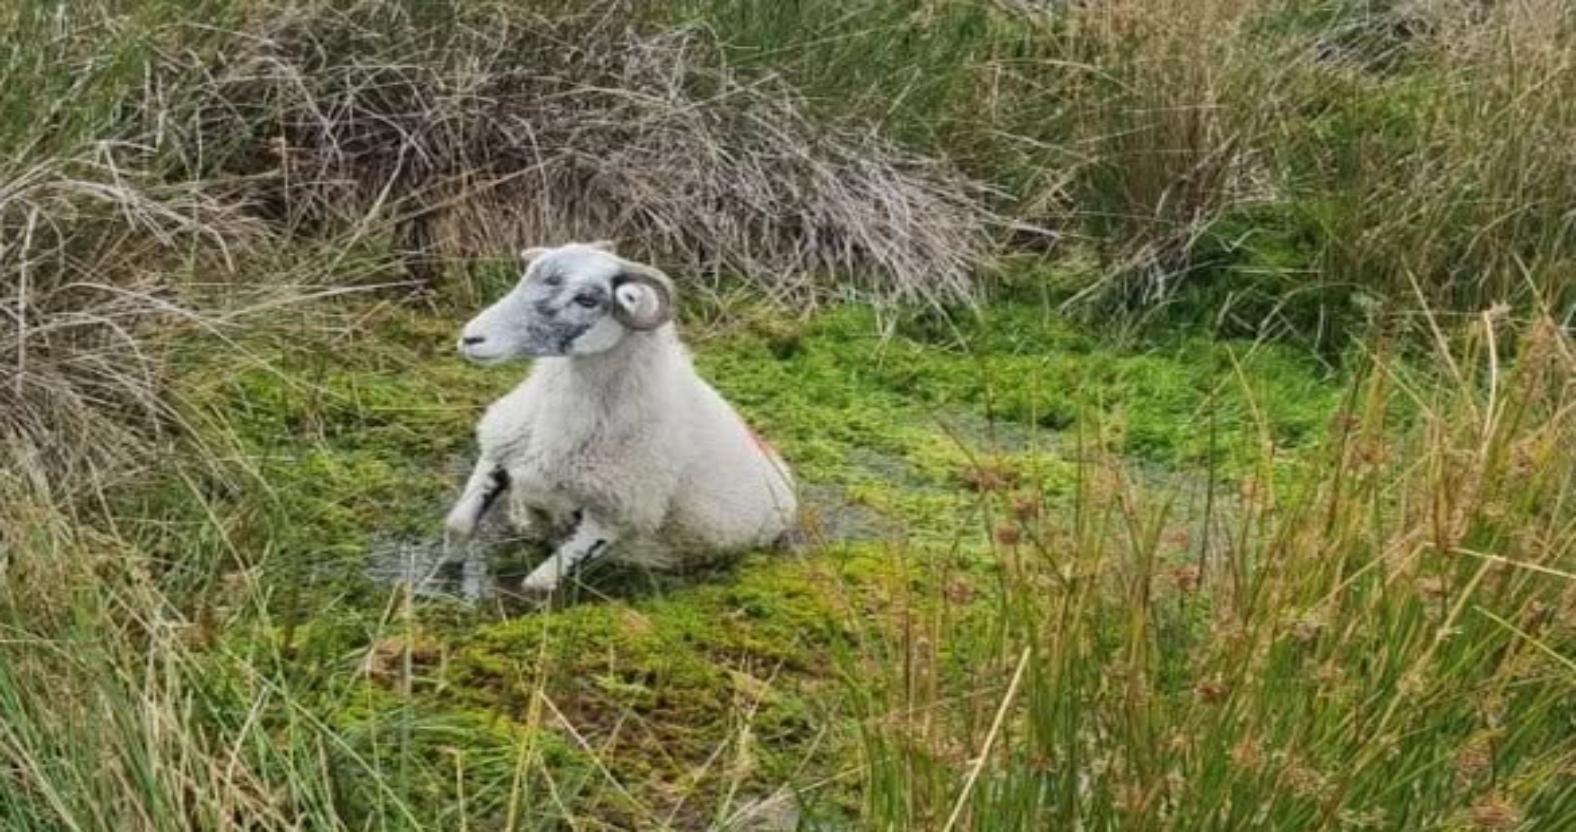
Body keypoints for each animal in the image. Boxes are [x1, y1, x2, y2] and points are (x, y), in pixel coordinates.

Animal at [444, 241, 797, 597]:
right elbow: (457, 524)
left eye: (587, 300)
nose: (471, 338)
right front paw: (449, 571)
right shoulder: (500, 447)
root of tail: (777, 460)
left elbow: (538, 585)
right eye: (525, 277)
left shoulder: (616, 516)